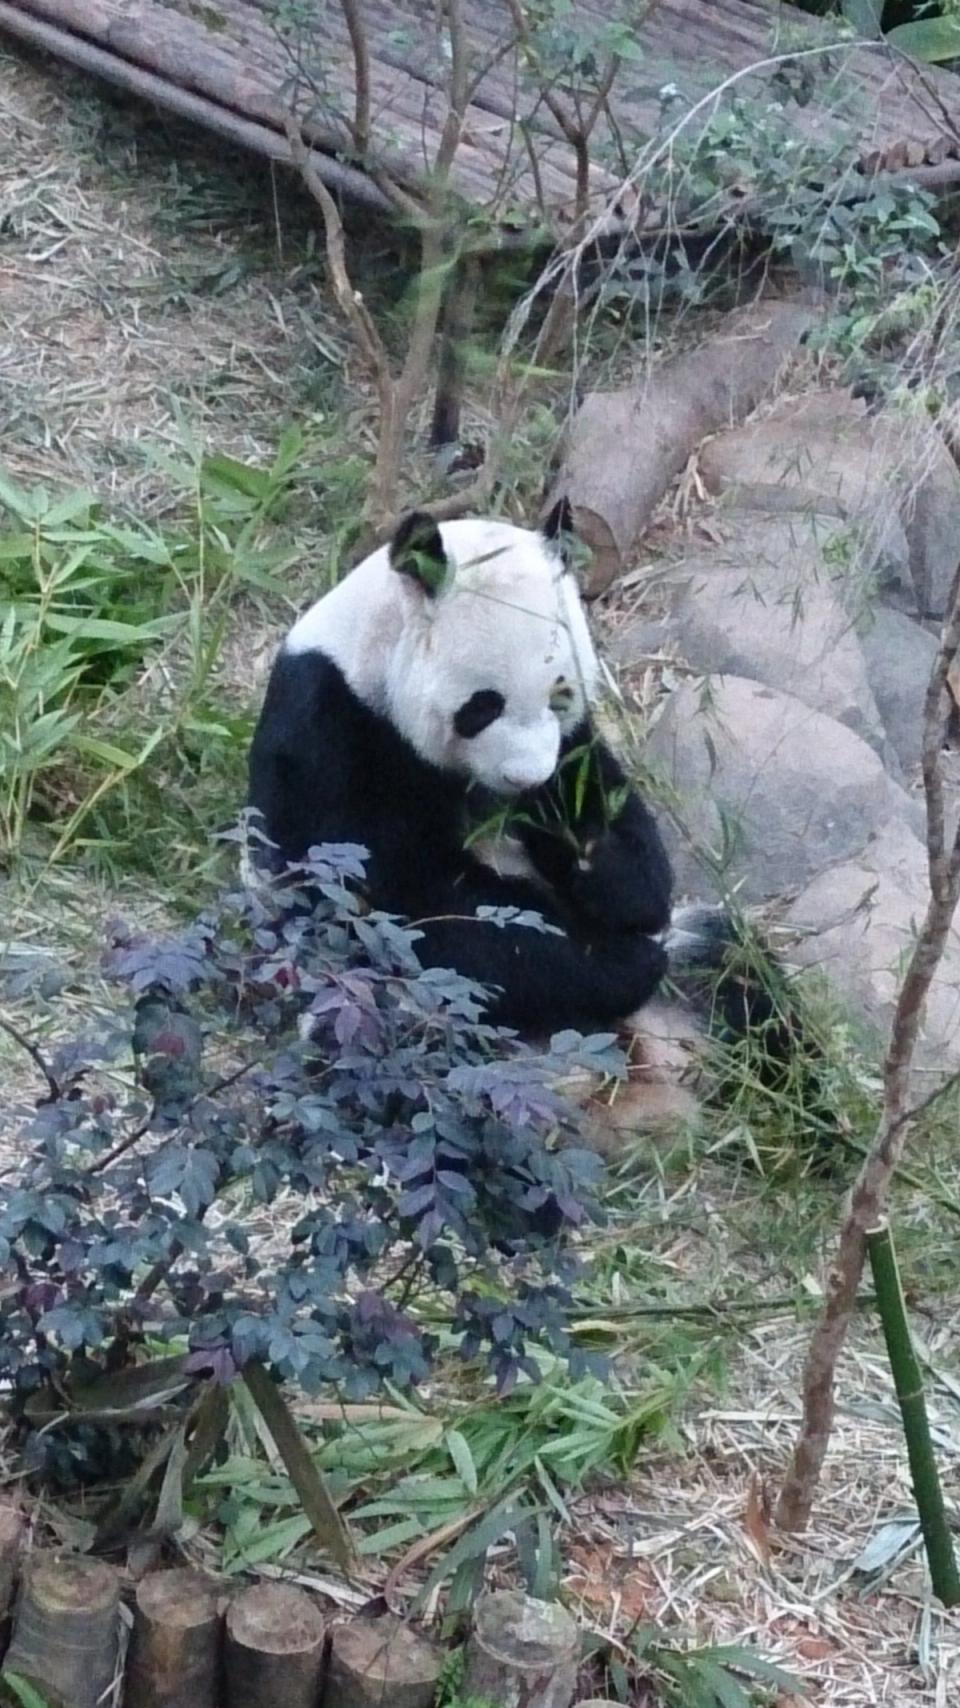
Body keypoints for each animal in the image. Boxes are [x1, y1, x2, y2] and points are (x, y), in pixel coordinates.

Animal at [245, 504, 780, 1054]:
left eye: (561, 695)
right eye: (483, 706)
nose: (526, 778)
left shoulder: (573, 746)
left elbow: (623, 838)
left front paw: (596, 862)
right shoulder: (331, 730)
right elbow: (408, 900)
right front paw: (620, 962)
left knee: (747, 987)